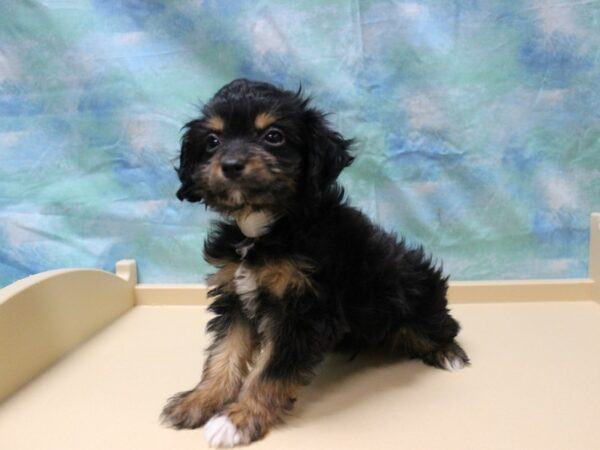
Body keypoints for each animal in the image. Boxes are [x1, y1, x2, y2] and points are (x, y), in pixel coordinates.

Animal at [161, 78, 468, 446]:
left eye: (273, 136)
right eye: (212, 141)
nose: (231, 164)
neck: (269, 227)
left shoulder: (303, 311)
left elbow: (270, 371)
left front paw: (237, 420)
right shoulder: (236, 297)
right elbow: (224, 355)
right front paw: (199, 400)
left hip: (417, 300)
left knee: (442, 326)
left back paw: (449, 353)